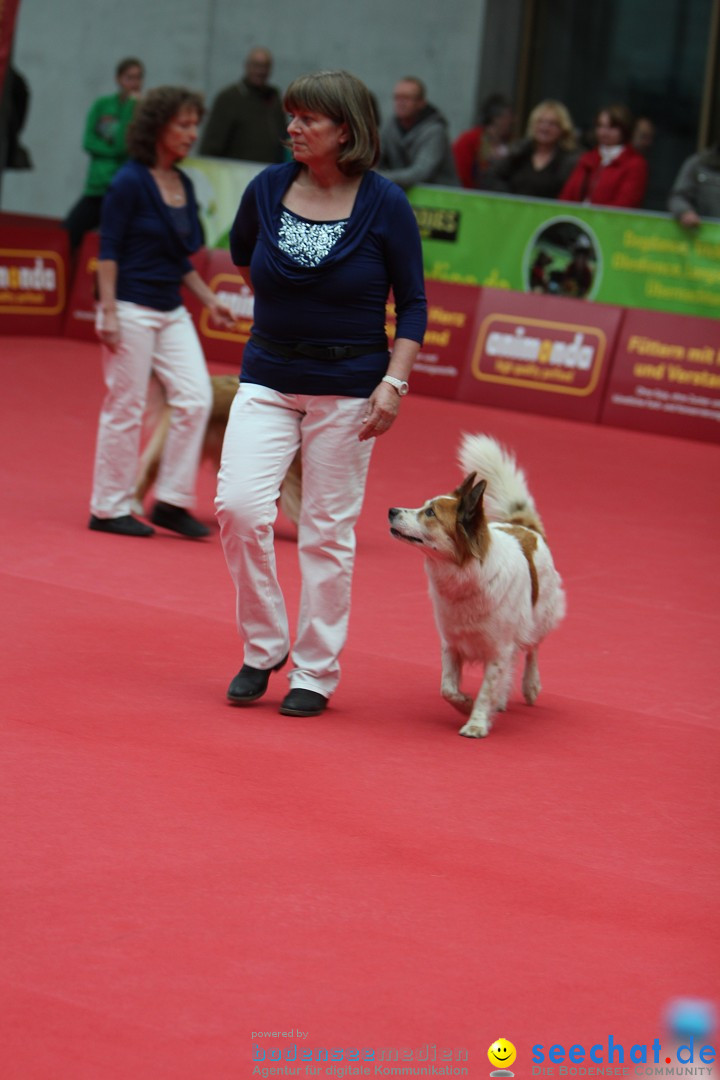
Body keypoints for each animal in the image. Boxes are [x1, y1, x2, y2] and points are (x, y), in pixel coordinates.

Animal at [390, 434, 565, 738]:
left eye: (430, 513)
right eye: (424, 506)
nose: (391, 511)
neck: (465, 574)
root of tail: (524, 527)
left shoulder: (498, 649)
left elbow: (487, 688)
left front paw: (476, 722)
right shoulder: (451, 642)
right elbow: (447, 688)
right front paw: (464, 704)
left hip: (540, 615)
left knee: (532, 649)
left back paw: (530, 685)